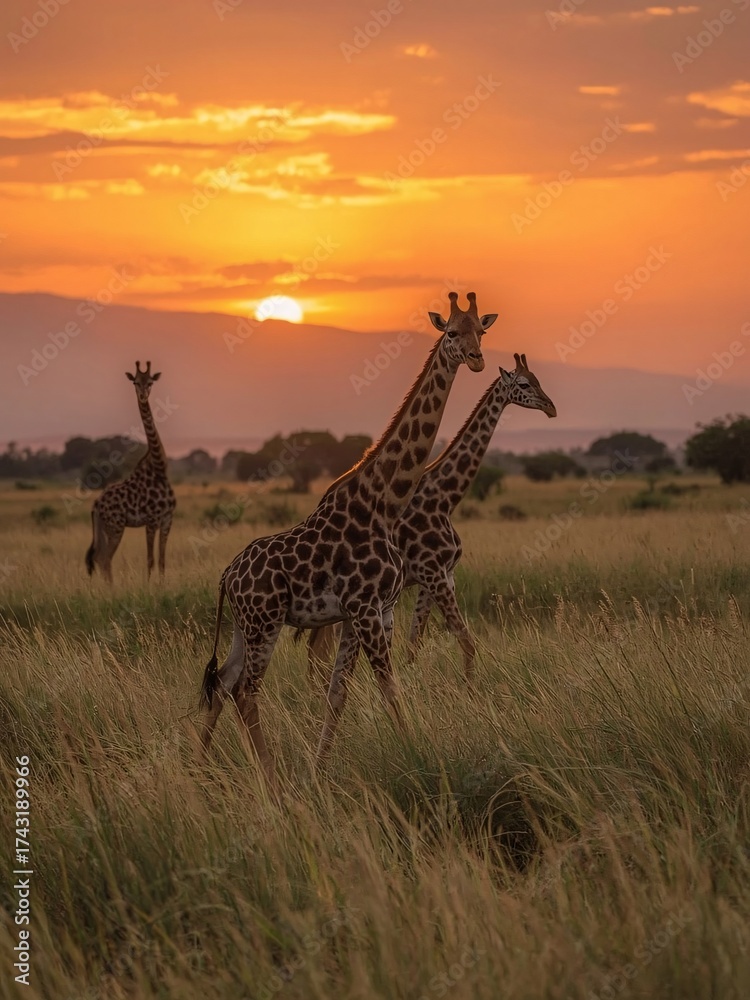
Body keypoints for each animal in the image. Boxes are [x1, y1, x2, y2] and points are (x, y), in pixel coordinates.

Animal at [85, 361, 176, 583]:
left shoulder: (167, 519)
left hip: (106, 527)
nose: (143, 395)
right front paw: (150, 586)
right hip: (115, 526)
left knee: (98, 557)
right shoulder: (151, 521)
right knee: (103, 558)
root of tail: (96, 504)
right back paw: (112, 589)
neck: (159, 469)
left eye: (150, 381)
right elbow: (150, 559)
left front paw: (163, 585)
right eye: (135, 381)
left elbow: (162, 560)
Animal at [198, 292, 497, 782]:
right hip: (265, 623)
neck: (383, 503)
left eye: (482, 331)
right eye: (452, 332)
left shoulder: (376, 611)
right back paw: (272, 779)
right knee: (245, 690)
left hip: (246, 627)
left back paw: (201, 767)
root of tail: (226, 575)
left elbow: (340, 692)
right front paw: (421, 757)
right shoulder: (364, 608)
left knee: (222, 683)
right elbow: (389, 687)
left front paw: (321, 769)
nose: (476, 359)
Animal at [303, 353, 556, 682]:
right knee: (319, 647)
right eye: (525, 384)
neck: (444, 497)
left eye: (538, 379)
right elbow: (463, 640)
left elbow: (415, 644)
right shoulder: (433, 573)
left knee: (318, 647)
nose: (551, 407)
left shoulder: (442, 575)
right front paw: (468, 687)